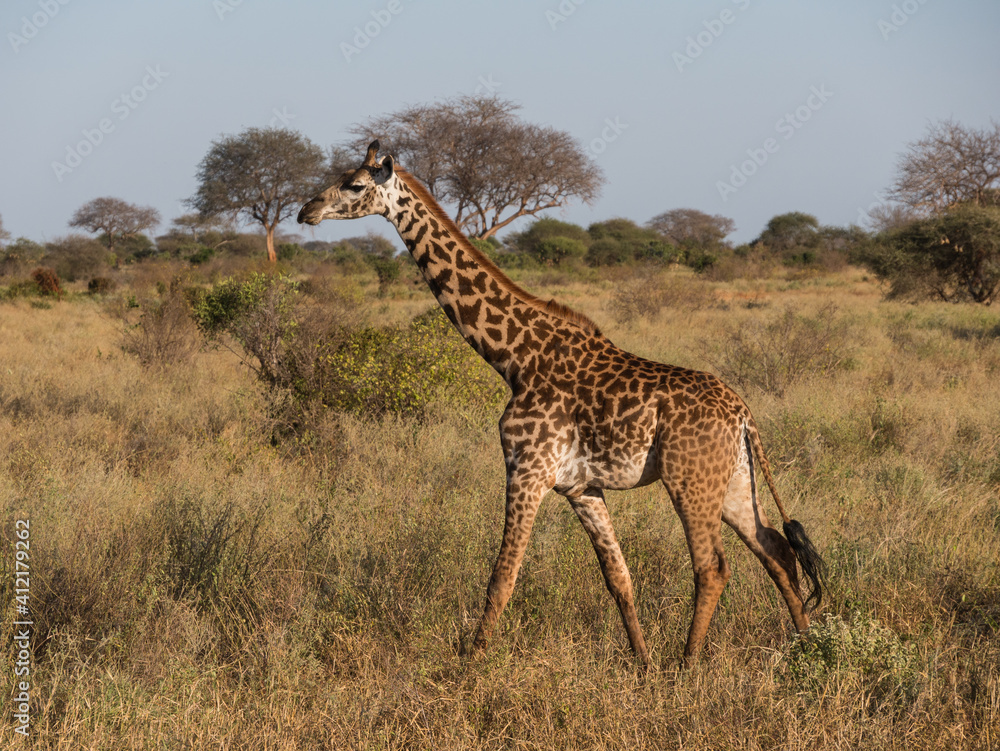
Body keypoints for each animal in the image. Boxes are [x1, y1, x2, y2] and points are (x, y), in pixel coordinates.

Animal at [297, 141, 824, 664]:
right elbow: (619, 578)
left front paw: (470, 665)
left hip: (688, 480)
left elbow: (502, 577)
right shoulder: (581, 487)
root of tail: (743, 415)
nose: (306, 210)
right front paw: (643, 664)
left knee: (713, 566)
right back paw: (806, 648)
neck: (514, 358)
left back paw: (688, 664)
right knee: (776, 550)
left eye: (354, 185)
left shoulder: (527, 469)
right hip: (732, 480)